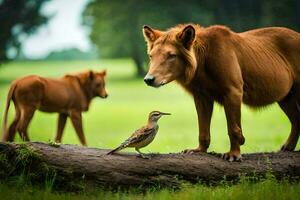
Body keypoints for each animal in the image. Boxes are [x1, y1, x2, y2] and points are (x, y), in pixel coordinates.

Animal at [142, 23, 300, 161]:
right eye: (151, 56)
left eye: (171, 55)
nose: (148, 79)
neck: (202, 64)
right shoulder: (201, 96)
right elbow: (203, 128)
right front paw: (199, 150)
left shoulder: (233, 91)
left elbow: (233, 128)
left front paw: (234, 153)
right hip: (285, 97)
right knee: (296, 119)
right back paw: (288, 146)